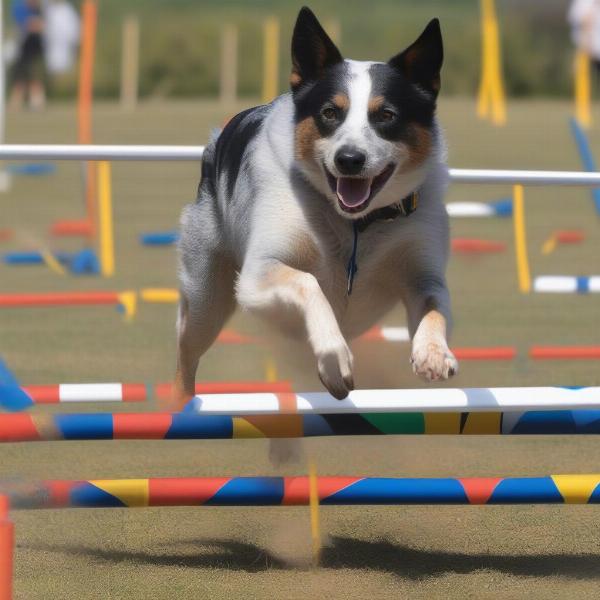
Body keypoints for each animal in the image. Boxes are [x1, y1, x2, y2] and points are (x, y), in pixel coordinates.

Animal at [176, 5, 458, 408]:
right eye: (329, 112)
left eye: (386, 115)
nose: (350, 159)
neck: (356, 225)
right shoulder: (257, 274)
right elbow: (309, 283)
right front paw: (334, 359)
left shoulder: (422, 272)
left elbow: (435, 306)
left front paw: (433, 354)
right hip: (206, 296)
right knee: (186, 352)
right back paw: (179, 405)